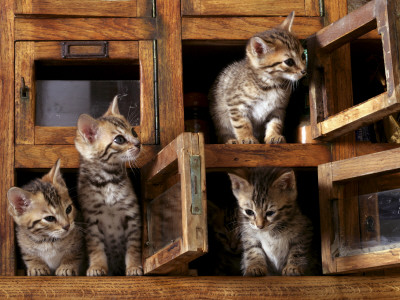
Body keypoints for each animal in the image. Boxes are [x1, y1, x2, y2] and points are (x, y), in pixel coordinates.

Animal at [75, 96, 144, 276]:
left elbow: (134, 246)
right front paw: (97, 266)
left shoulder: (132, 216)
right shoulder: (91, 220)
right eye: (119, 139)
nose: (138, 143)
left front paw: (134, 266)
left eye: (134, 132)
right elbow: (95, 246)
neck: (108, 181)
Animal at [209, 12, 306, 145]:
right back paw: (230, 140)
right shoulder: (236, 105)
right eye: (289, 62)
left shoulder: (278, 109)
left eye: (303, 56)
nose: (304, 71)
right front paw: (246, 137)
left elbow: (275, 123)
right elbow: (242, 124)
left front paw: (273, 136)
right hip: (220, 117)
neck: (271, 84)